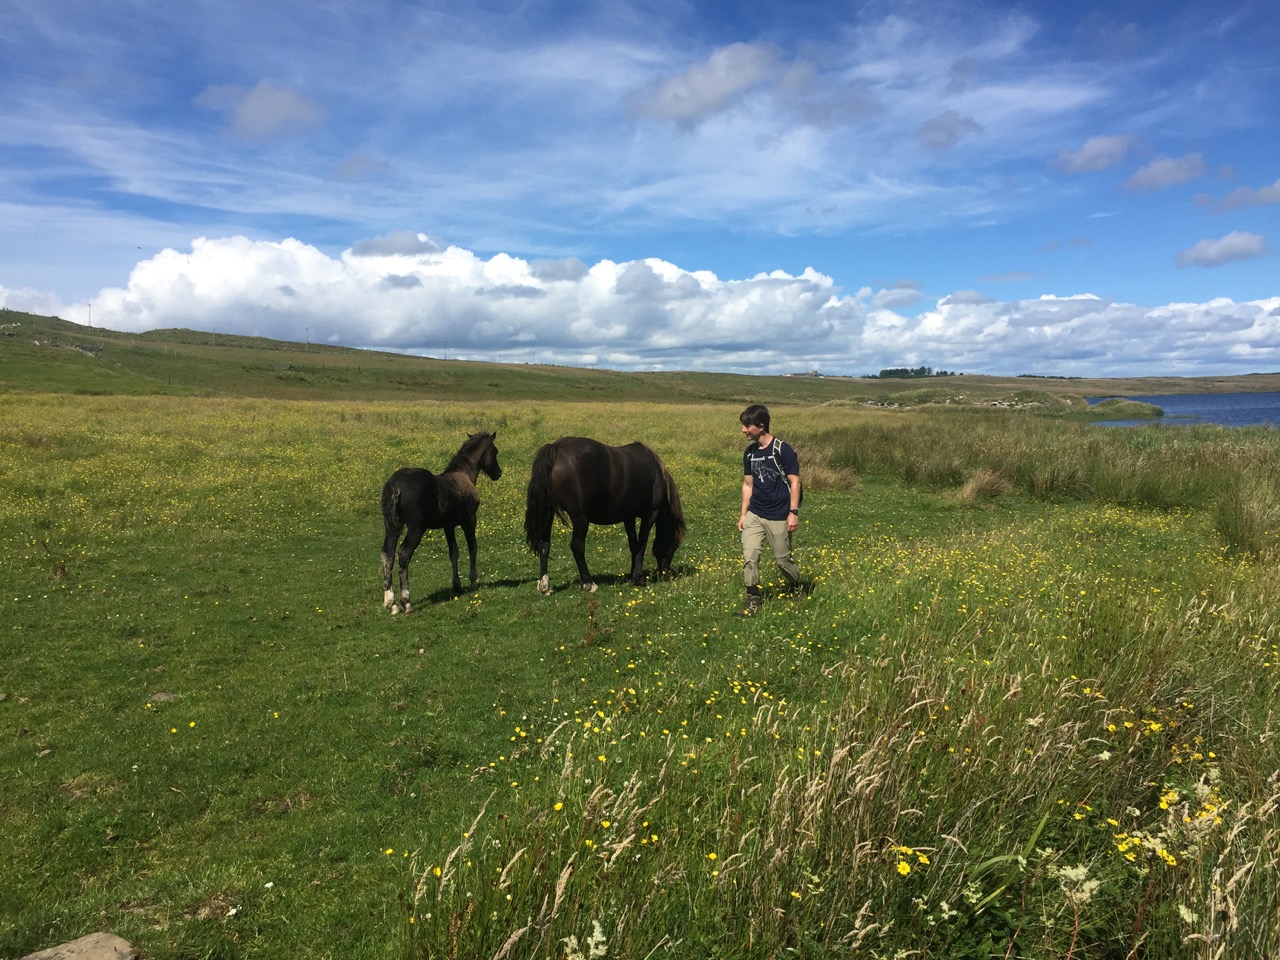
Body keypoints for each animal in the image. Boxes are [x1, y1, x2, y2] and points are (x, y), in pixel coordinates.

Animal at [378, 430, 499, 611]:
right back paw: (406, 602)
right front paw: (472, 581)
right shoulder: (469, 520)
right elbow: (473, 547)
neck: (464, 475)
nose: (498, 473)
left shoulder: (448, 526)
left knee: (387, 553)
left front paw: (457, 585)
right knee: (404, 553)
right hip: (416, 528)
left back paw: (390, 603)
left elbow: (453, 552)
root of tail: (395, 484)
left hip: (392, 526)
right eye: (495, 451)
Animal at [519, 437, 686, 593]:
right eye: (675, 544)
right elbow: (642, 543)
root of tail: (556, 447)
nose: (666, 575)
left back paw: (545, 585)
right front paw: (638, 578)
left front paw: (632, 575)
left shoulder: (628, 516)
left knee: (544, 544)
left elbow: (633, 544)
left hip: (548, 513)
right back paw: (588, 583)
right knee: (577, 546)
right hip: (580, 517)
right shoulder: (650, 513)